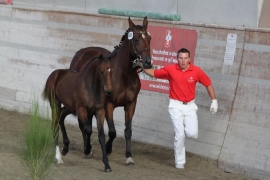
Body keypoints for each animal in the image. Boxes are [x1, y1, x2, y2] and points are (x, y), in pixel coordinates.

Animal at [69, 17, 152, 166]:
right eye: (136, 39)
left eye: (150, 38)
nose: (148, 62)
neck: (124, 74)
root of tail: (82, 51)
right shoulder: (108, 105)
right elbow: (112, 132)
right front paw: (107, 149)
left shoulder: (131, 104)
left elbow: (128, 131)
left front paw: (128, 156)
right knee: (83, 124)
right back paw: (87, 149)